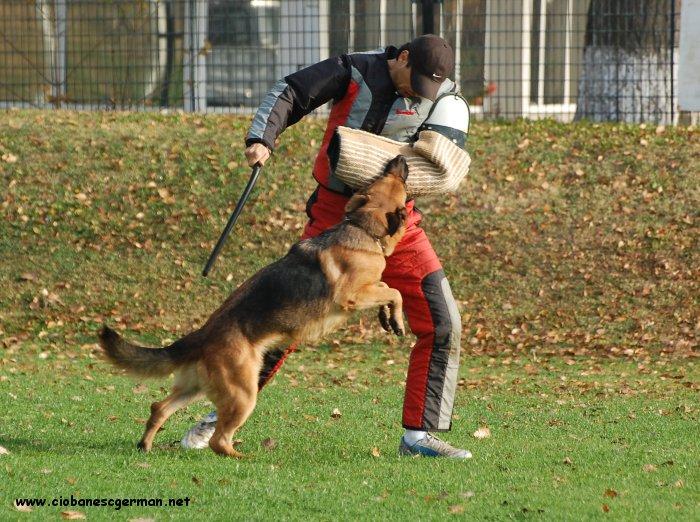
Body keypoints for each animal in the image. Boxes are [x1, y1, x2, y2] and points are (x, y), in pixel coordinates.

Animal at [98, 154, 410, 456]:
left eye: (382, 177)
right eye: (398, 182)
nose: (400, 158)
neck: (364, 227)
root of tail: (202, 335)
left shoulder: (369, 288)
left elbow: (387, 289)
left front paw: (388, 317)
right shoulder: (352, 296)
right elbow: (395, 291)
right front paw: (396, 317)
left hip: (197, 387)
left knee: (159, 407)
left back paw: (145, 446)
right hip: (244, 394)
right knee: (218, 440)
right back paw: (244, 457)